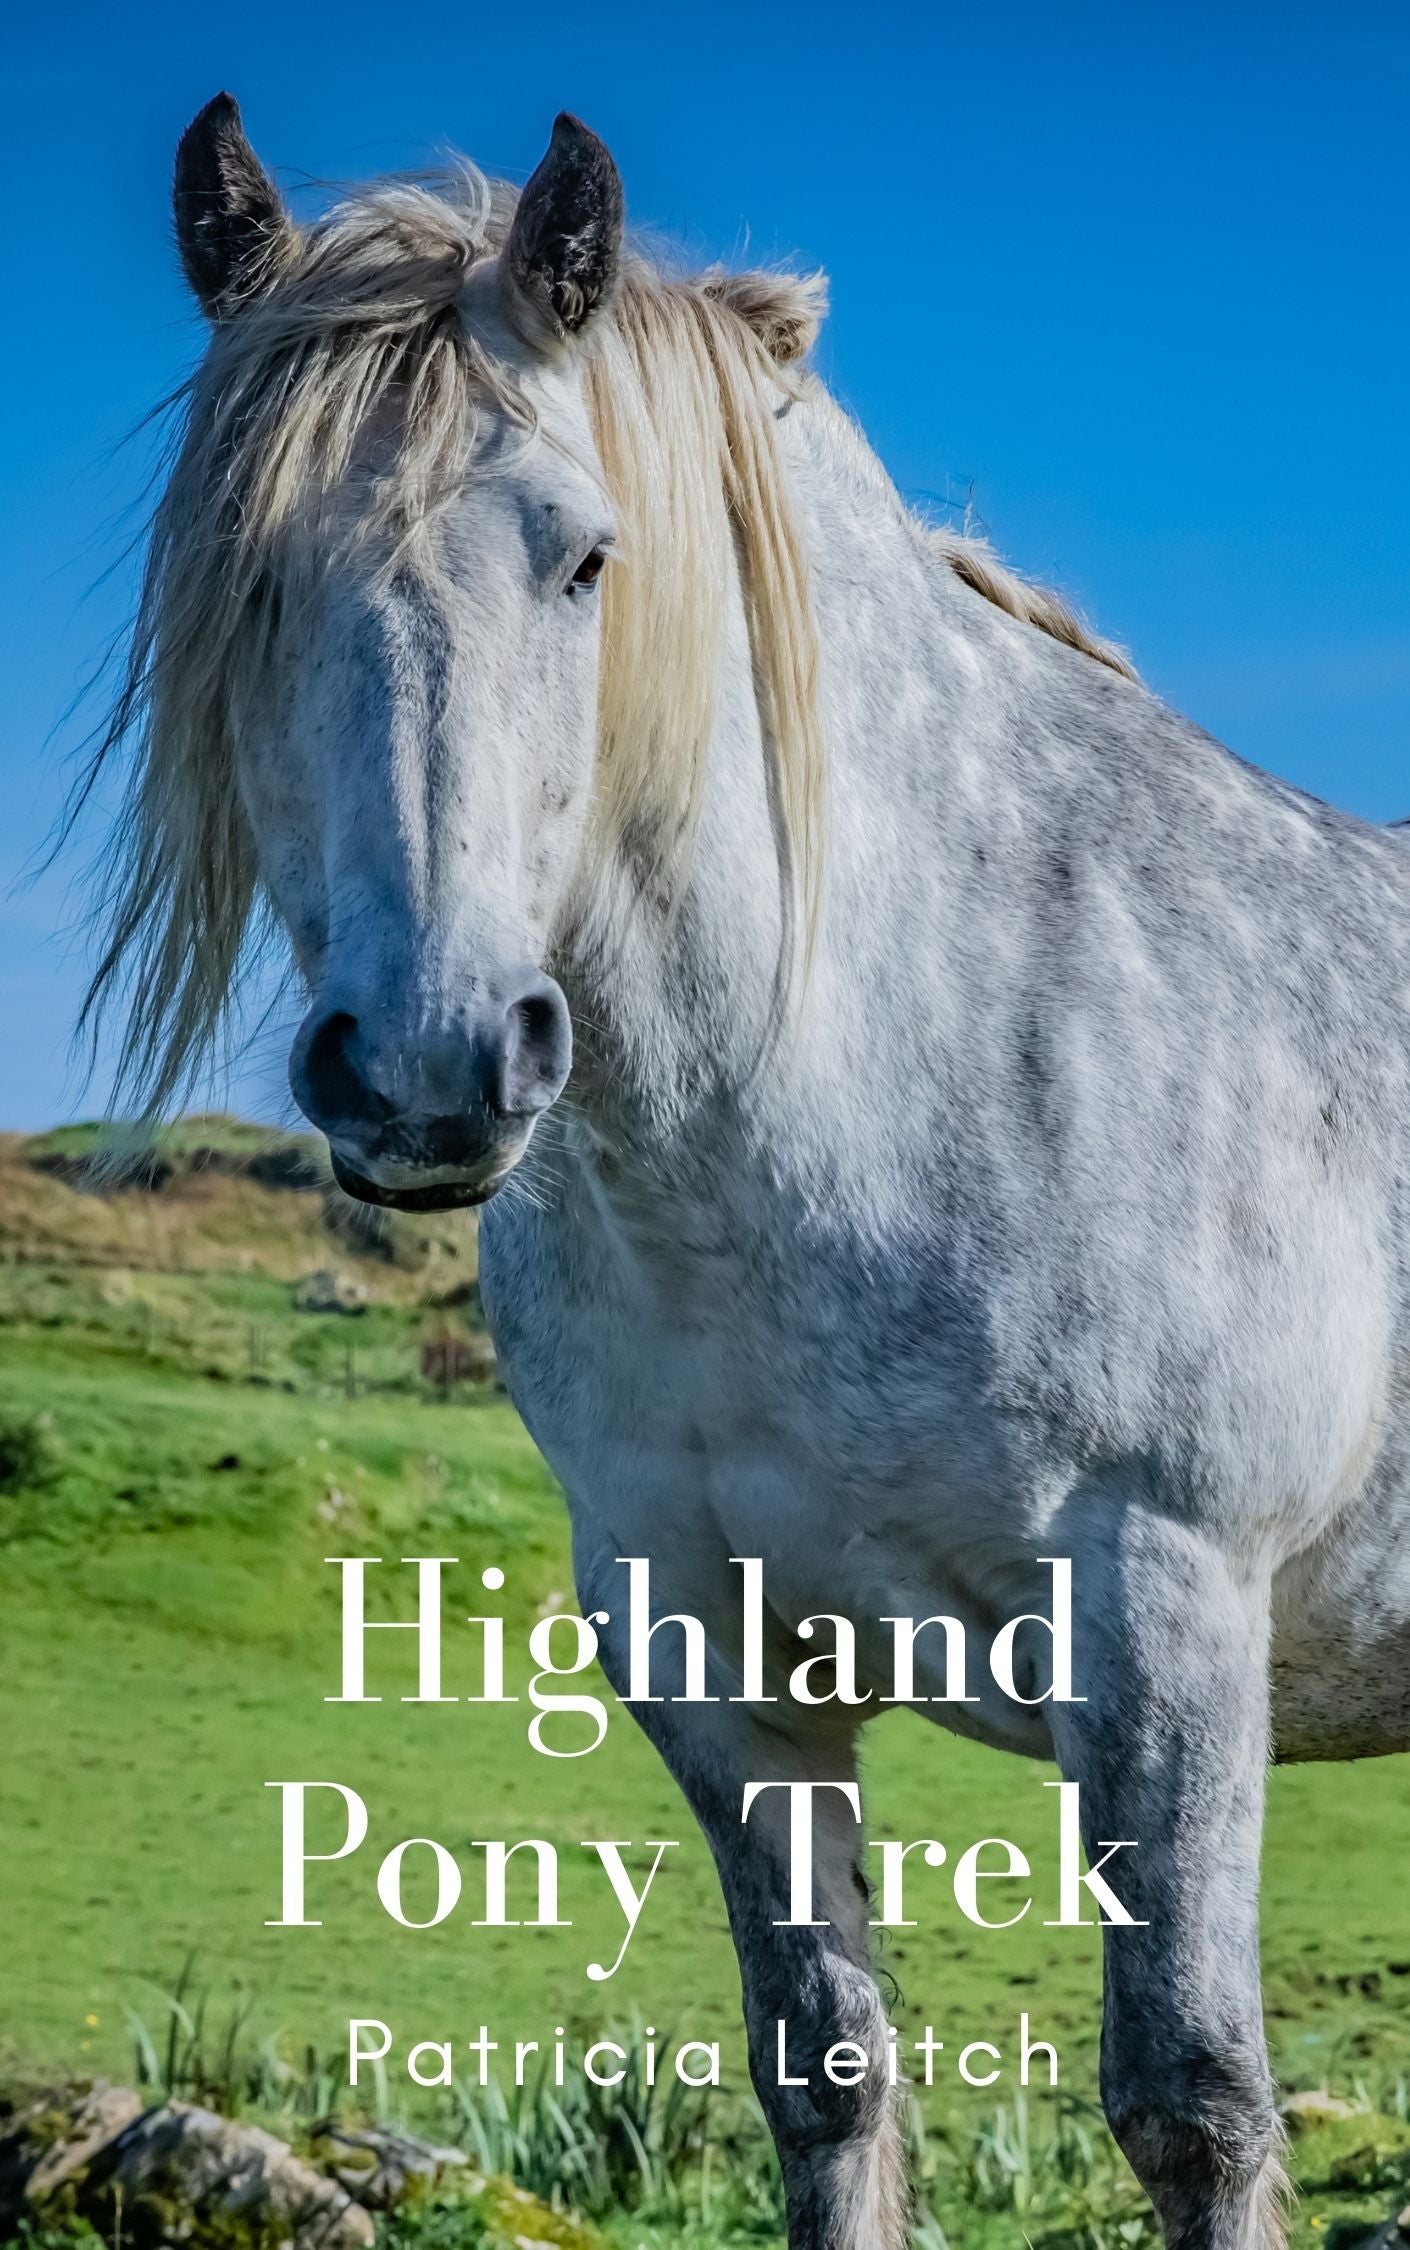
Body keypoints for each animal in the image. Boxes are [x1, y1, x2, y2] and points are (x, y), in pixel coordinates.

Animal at [82, 94, 1410, 2250]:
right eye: (247, 580)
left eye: (587, 557)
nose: (432, 1062)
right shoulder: (718, 1664)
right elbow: (828, 2076)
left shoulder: (1171, 1625)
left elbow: (1196, 2106)